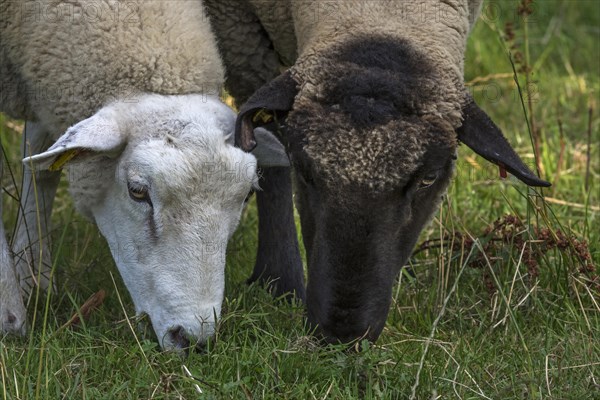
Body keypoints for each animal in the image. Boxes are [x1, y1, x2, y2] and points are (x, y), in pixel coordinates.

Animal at [0, 0, 288, 350]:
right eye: (137, 191)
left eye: (247, 195)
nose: (192, 338)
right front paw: (10, 311)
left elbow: (40, 166)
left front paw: (34, 279)